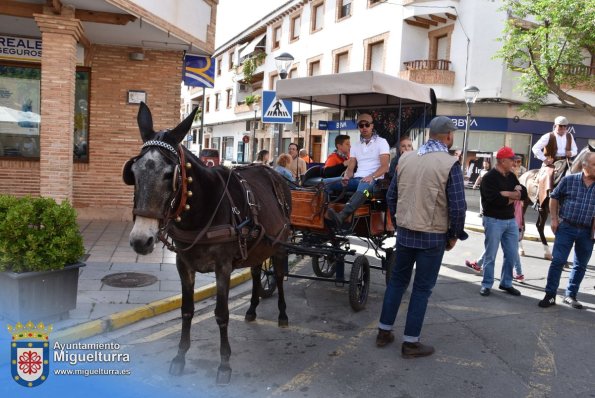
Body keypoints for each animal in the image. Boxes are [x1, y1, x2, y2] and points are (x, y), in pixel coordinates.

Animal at [124, 102, 294, 386]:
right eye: (133, 173)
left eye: (170, 174)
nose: (141, 240)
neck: (202, 209)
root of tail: (272, 170)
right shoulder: (184, 265)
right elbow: (186, 310)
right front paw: (180, 356)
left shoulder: (222, 267)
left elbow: (221, 314)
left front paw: (224, 363)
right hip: (257, 246)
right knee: (256, 272)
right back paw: (252, 309)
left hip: (279, 244)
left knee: (279, 276)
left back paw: (282, 314)